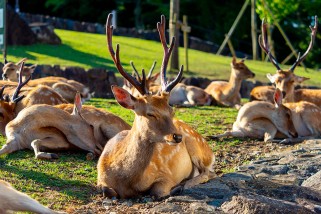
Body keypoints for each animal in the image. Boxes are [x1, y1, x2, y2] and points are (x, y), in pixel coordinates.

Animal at [96, 13, 214, 199]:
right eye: (150, 113)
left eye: (171, 111)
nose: (177, 137)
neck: (126, 181)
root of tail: (210, 151)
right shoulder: (100, 177)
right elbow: (107, 190)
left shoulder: (165, 175)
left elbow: (158, 191)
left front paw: (174, 188)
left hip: (197, 148)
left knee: (209, 172)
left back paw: (184, 184)